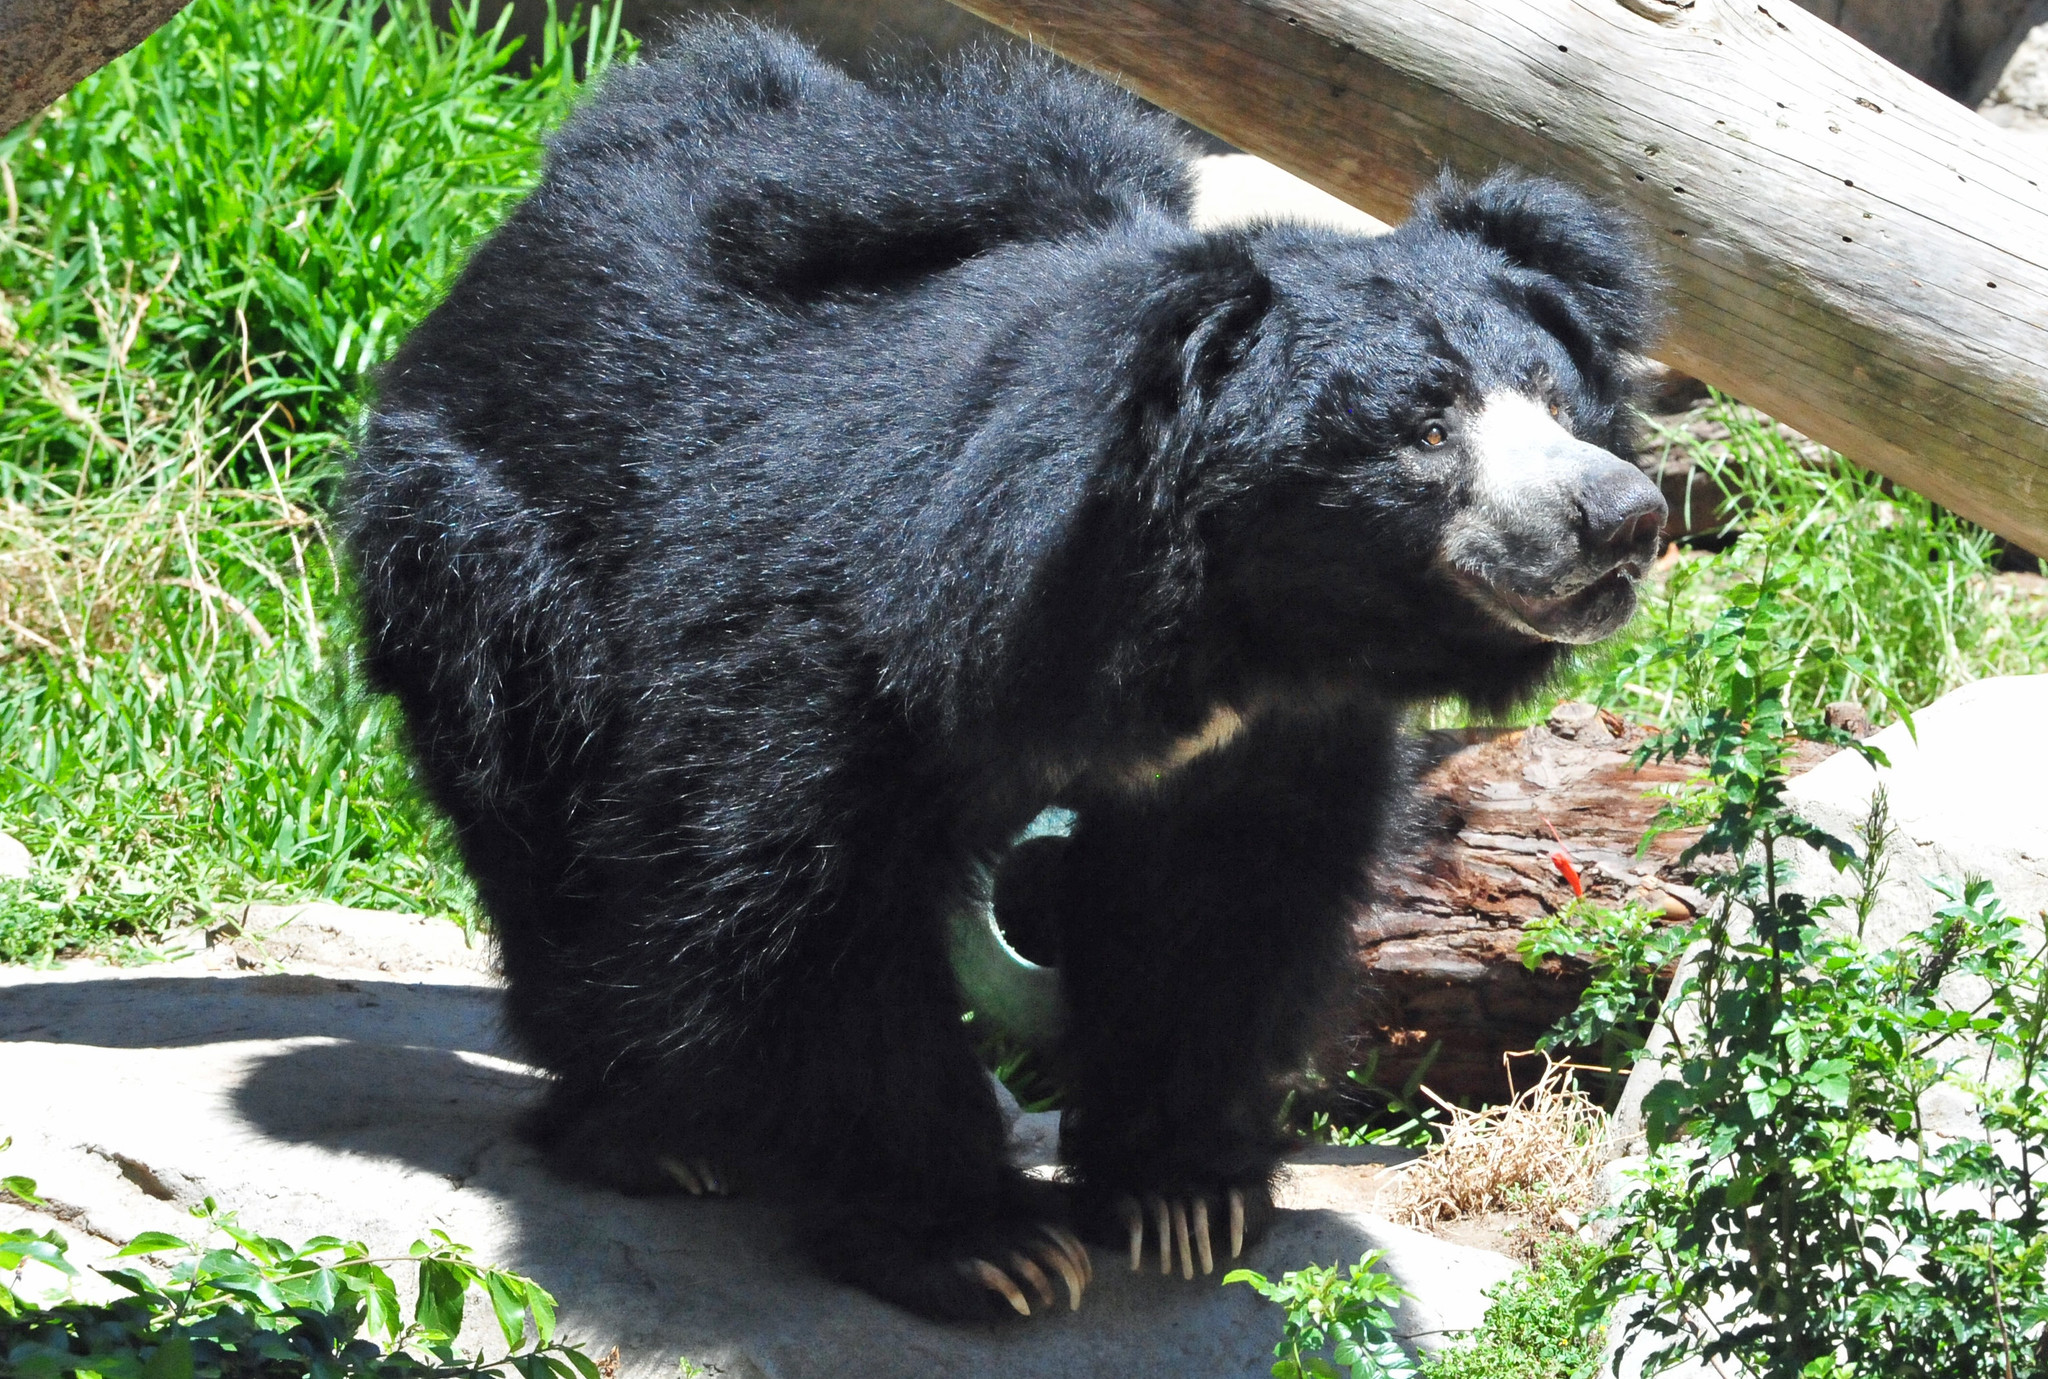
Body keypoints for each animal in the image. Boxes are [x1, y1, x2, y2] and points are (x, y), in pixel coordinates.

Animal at [345, 20, 1666, 1322]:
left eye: (1557, 400)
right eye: (1425, 429)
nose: (1622, 516)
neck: (1231, 626)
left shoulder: (1268, 736)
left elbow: (1221, 903)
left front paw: (1182, 1195)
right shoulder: (829, 656)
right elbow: (802, 911)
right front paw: (984, 1245)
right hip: (497, 552)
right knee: (547, 813)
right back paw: (653, 1132)